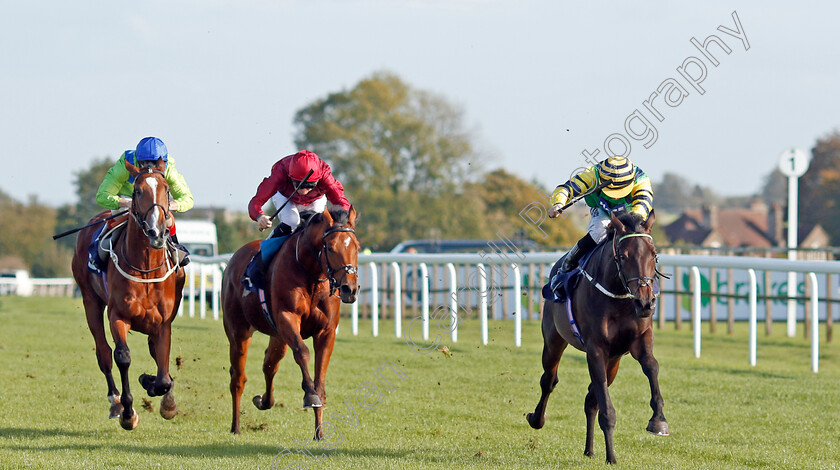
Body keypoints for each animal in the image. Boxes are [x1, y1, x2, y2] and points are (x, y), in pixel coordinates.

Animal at [71, 159, 185, 430]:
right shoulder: (118, 315)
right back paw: (114, 402)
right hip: (90, 300)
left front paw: (162, 396)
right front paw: (128, 413)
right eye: (137, 191)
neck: (145, 269)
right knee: (103, 353)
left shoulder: (163, 323)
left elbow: (163, 372)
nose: (156, 232)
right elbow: (122, 356)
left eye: (167, 189)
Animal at [221, 207, 360, 438]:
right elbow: (303, 352)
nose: (350, 289)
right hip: (238, 332)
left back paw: (264, 401)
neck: (312, 273)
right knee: (238, 378)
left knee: (270, 365)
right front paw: (309, 394)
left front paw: (319, 433)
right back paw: (236, 427)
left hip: (277, 337)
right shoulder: (287, 318)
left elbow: (320, 379)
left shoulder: (326, 332)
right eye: (331, 248)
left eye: (356, 247)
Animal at [524, 211, 668, 464]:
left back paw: (589, 450)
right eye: (623, 255)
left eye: (654, 254)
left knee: (591, 400)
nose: (645, 302)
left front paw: (658, 420)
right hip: (553, 341)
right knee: (549, 380)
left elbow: (651, 366)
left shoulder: (639, 340)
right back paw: (537, 419)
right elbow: (607, 410)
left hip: (614, 361)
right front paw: (612, 457)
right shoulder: (596, 350)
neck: (619, 297)